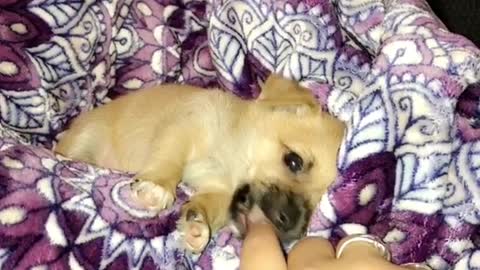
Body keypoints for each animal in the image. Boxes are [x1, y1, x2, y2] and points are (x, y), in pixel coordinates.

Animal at [54, 74, 344, 253]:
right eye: (294, 161)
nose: (289, 224)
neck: (229, 160)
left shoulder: (218, 191)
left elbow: (207, 207)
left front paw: (197, 225)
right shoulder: (183, 129)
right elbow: (169, 161)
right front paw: (158, 186)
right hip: (84, 139)